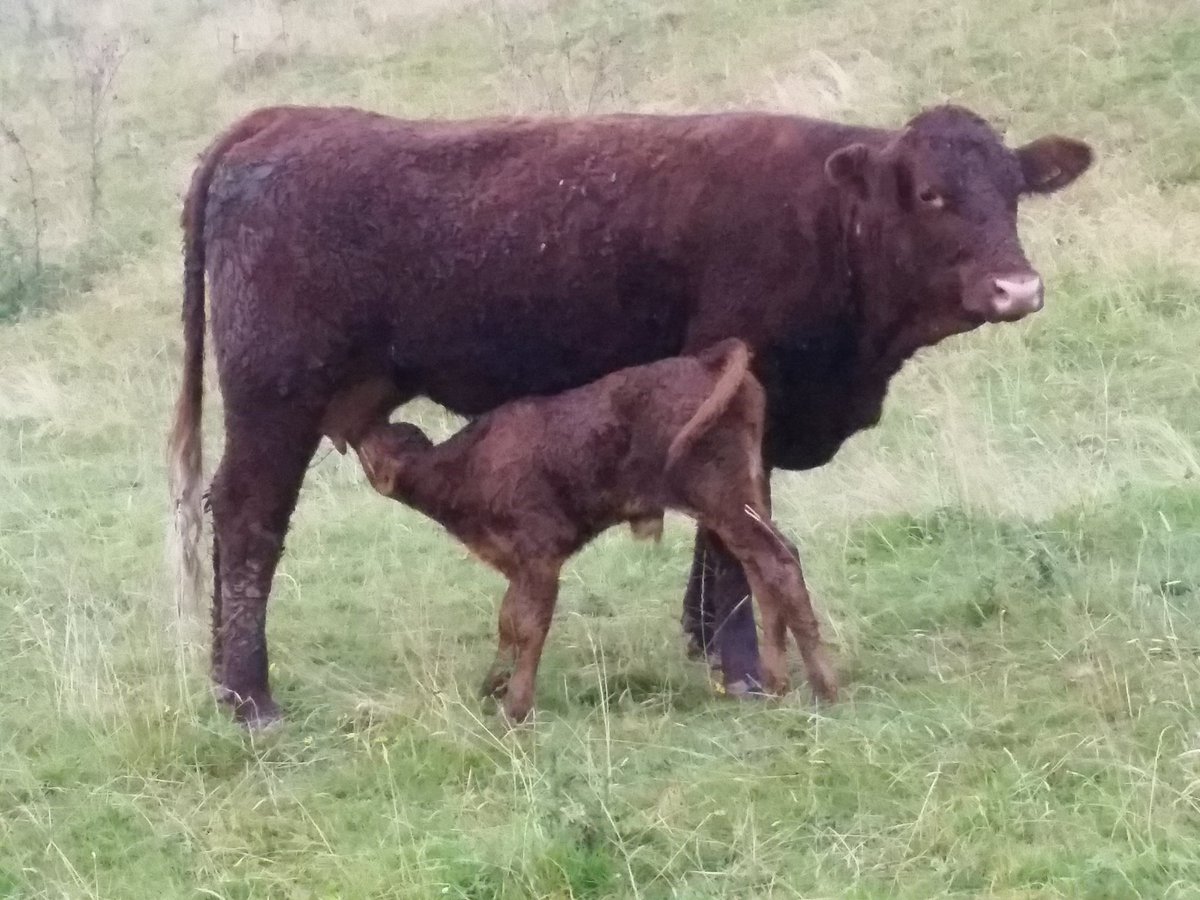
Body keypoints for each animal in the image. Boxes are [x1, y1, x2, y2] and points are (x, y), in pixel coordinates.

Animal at [354, 339, 837, 722]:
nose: (361, 430)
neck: (463, 469)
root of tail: (706, 362)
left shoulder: (540, 557)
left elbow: (528, 625)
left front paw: (515, 708)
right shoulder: (518, 566)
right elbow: (507, 621)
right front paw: (491, 687)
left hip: (724, 499)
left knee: (777, 563)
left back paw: (825, 688)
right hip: (745, 501)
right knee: (766, 566)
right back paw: (777, 684)